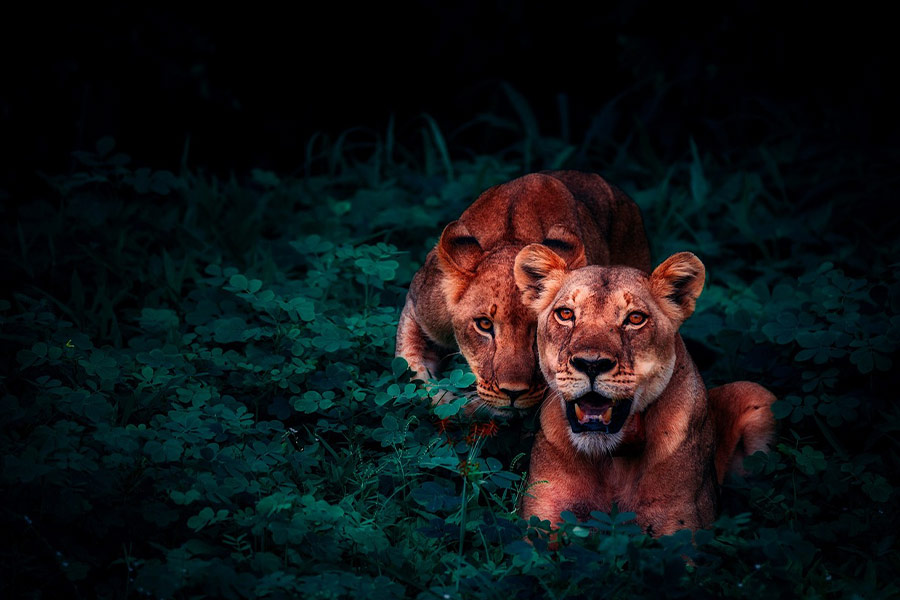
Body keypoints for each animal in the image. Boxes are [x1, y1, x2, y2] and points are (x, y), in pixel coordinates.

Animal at [514, 244, 775, 536]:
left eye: (635, 318)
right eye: (566, 314)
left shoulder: (681, 525)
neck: (611, 460)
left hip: (756, 393)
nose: (591, 364)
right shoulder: (541, 517)